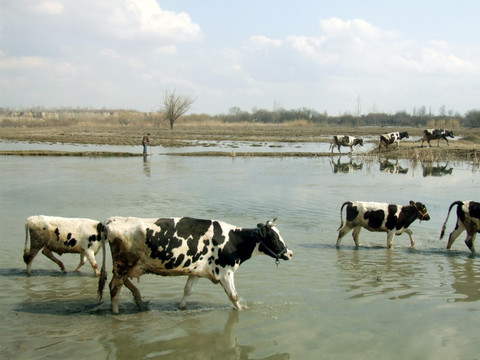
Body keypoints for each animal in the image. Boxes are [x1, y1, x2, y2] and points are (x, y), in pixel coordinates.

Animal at [97, 217, 292, 312]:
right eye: (274, 237)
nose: (290, 253)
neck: (232, 241)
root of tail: (111, 221)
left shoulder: (196, 271)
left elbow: (187, 290)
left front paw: (181, 307)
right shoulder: (225, 272)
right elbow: (234, 296)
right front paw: (242, 309)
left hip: (132, 265)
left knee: (123, 283)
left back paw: (138, 299)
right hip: (123, 264)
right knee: (114, 287)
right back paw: (116, 312)